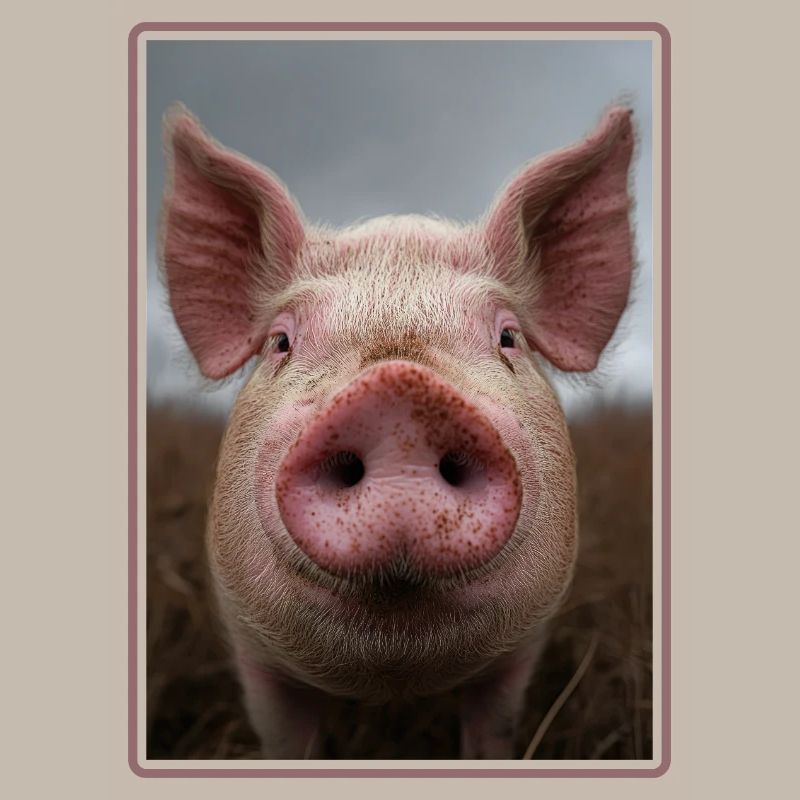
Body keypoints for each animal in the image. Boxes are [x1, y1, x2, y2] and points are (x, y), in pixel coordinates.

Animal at [158, 103, 636, 759]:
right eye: (281, 342)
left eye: (508, 337)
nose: (398, 392)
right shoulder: (254, 653)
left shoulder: (520, 652)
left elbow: (493, 731)